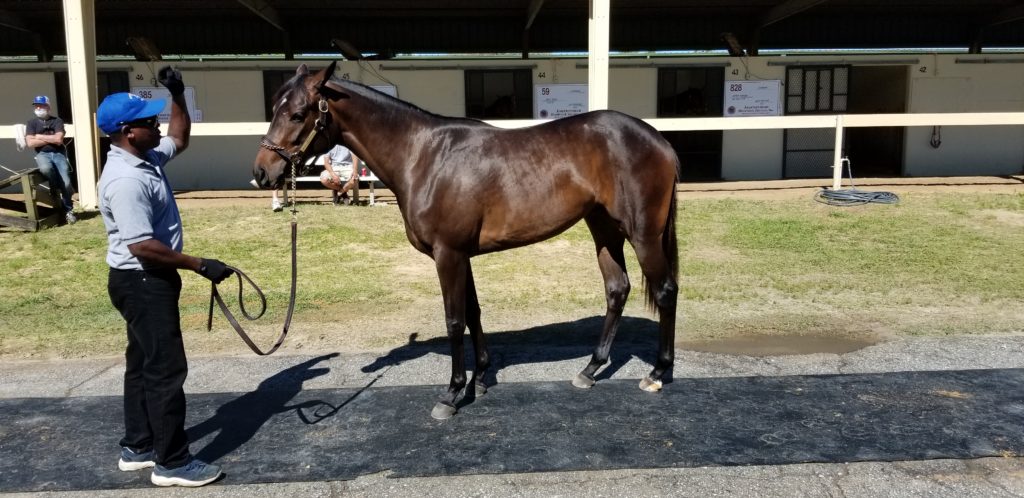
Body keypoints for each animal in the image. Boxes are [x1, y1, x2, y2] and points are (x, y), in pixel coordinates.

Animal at [251, 62, 679, 420]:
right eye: (274, 108)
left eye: (298, 113)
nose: (262, 172)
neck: (422, 156)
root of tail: (658, 140)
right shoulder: (462, 256)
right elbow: (473, 312)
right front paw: (481, 378)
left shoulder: (448, 254)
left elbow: (455, 319)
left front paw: (453, 393)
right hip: (603, 228)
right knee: (617, 289)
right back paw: (590, 369)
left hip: (643, 234)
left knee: (665, 291)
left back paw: (658, 372)